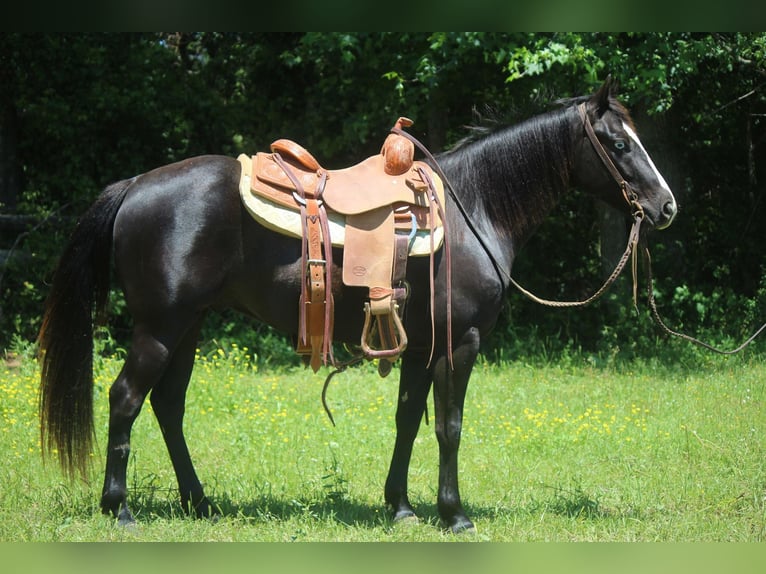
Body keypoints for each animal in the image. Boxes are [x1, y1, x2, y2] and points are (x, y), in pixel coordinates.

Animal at [40, 77, 680, 536]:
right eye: (619, 143)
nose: (666, 206)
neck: (472, 206)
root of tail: (135, 185)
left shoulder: (420, 346)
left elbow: (407, 420)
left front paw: (401, 507)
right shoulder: (460, 342)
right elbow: (449, 426)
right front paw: (454, 514)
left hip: (188, 327)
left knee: (168, 406)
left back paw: (200, 503)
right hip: (159, 328)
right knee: (126, 399)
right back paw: (119, 509)